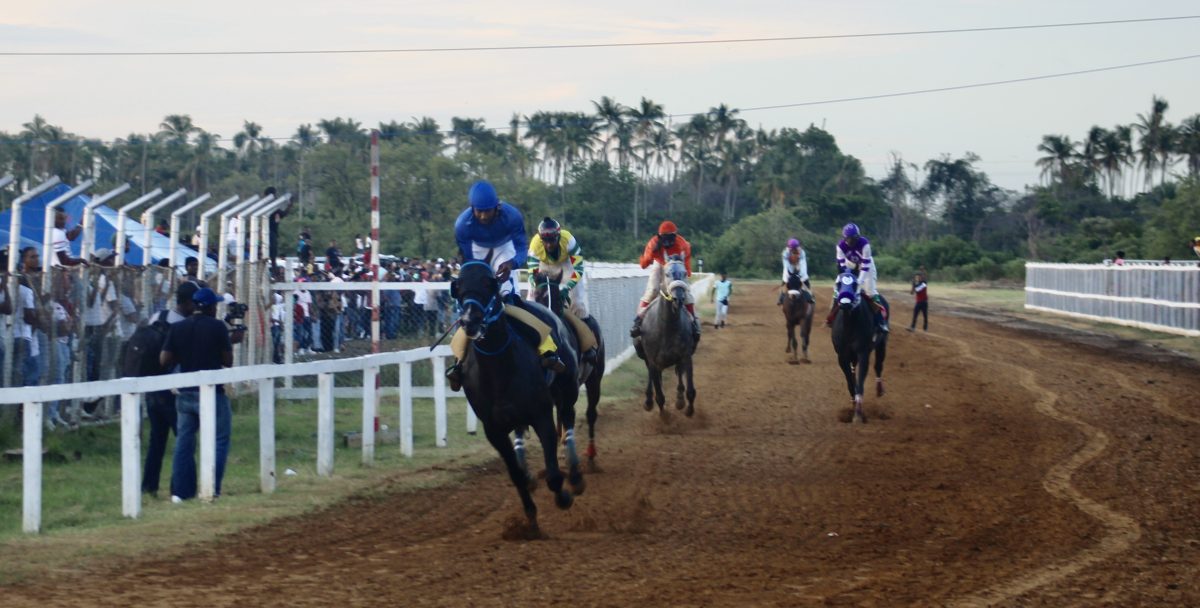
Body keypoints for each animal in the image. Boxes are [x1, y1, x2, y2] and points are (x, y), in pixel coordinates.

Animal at [451, 259, 578, 534]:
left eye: (489, 284)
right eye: (459, 287)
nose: (469, 320)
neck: (499, 367)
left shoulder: (541, 415)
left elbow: (553, 474)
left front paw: (563, 497)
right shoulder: (494, 430)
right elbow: (516, 474)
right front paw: (530, 517)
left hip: (568, 389)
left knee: (568, 418)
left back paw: (576, 474)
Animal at [535, 273, 609, 467]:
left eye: (558, 299)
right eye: (538, 297)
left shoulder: (571, 388)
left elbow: (569, 414)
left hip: (594, 379)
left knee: (590, 413)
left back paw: (590, 453)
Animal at [633, 256, 700, 419]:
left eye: (684, 273)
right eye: (667, 274)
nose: (679, 298)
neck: (667, 327)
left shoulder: (686, 356)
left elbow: (690, 389)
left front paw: (688, 409)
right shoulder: (652, 360)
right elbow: (659, 395)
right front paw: (664, 417)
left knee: (678, 374)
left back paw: (679, 400)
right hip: (645, 356)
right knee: (652, 377)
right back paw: (648, 400)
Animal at [830, 273, 888, 426]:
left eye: (855, 284)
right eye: (838, 283)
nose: (845, 303)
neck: (850, 326)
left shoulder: (863, 353)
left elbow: (860, 382)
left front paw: (858, 414)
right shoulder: (842, 356)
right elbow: (850, 381)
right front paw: (853, 404)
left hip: (882, 344)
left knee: (878, 365)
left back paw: (879, 389)